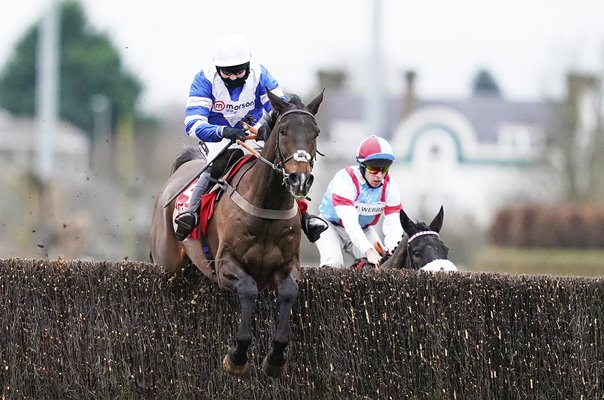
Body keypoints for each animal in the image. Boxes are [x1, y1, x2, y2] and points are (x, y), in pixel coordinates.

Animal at [150, 89, 324, 376]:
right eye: (283, 130)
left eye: (316, 132)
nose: (300, 179)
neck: (266, 205)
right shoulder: (225, 265)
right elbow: (249, 289)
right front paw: (237, 356)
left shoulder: (288, 264)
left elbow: (288, 292)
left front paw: (275, 358)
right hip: (166, 264)